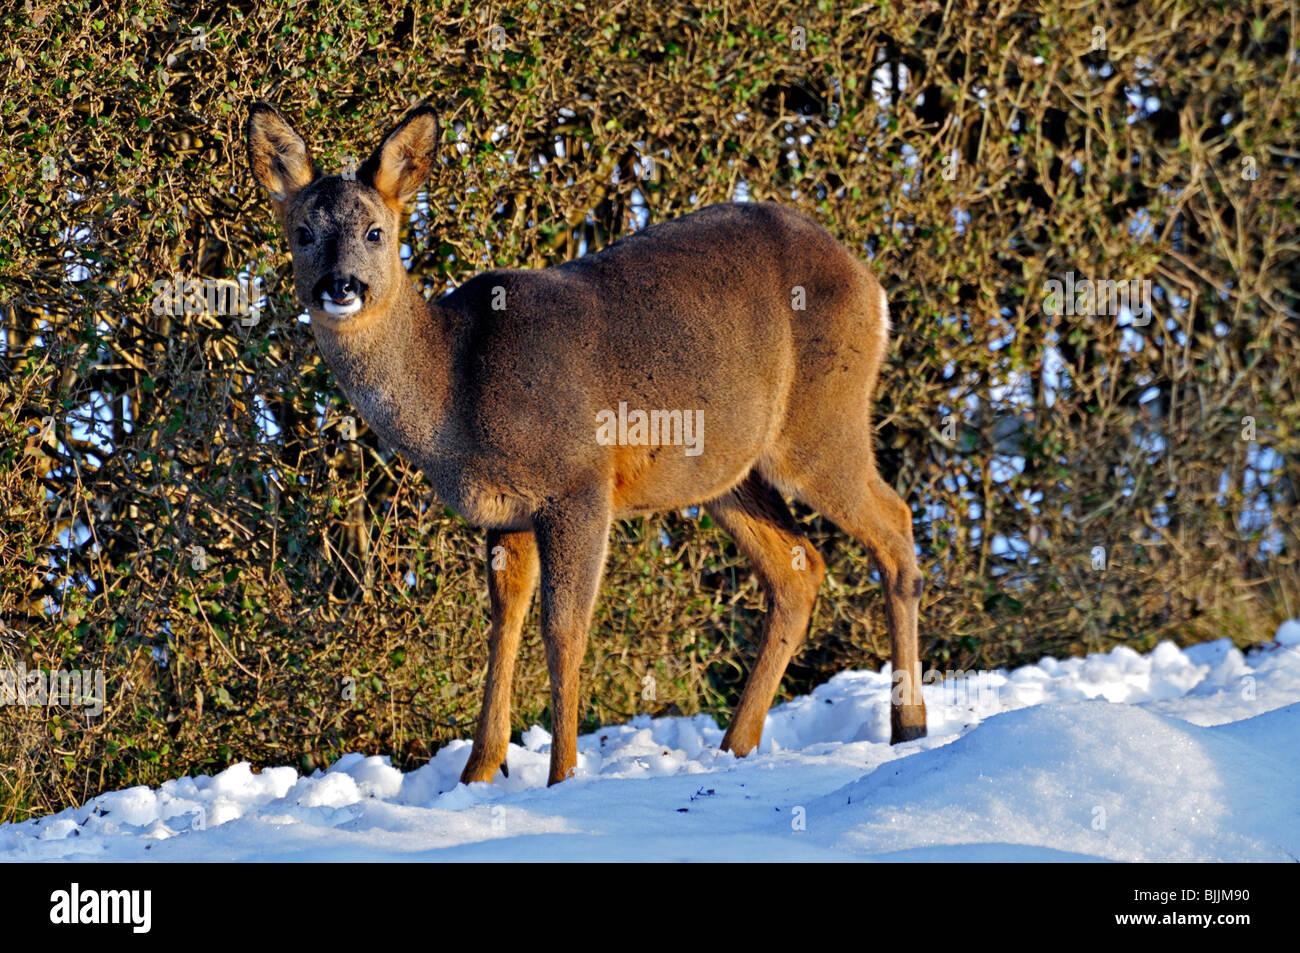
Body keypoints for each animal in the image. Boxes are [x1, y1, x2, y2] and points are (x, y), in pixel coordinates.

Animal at [244, 102, 930, 790]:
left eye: (376, 232)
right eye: (302, 232)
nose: (341, 286)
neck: (455, 388)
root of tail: (873, 286)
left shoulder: (579, 482)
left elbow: (563, 630)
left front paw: (561, 776)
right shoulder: (504, 513)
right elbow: (504, 622)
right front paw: (478, 773)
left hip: (820, 425)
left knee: (895, 525)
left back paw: (909, 727)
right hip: (727, 471)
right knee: (800, 569)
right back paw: (737, 745)